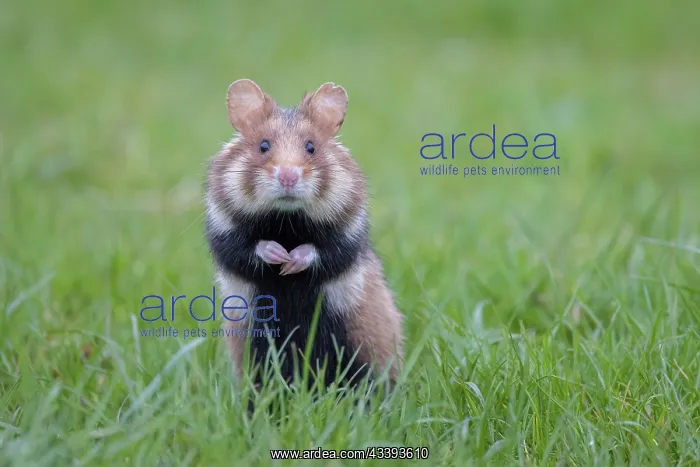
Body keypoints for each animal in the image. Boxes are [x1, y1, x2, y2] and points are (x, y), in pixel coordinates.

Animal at [205, 79, 404, 389]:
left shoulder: (348, 235)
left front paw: (290, 263)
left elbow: (324, 252)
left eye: (311, 147)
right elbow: (245, 249)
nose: (288, 177)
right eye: (263, 145)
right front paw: (278, 256)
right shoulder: (223, 230)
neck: (286, 221)